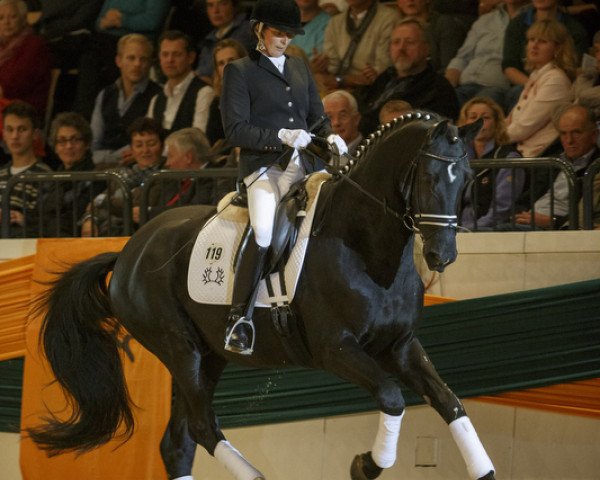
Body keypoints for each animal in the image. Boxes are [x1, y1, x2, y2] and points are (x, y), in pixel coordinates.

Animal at [27, 113, 492, 480]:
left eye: (468, 179)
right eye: (430, 178)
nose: (442, 255)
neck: (365, 248)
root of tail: (128, 250)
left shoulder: (399, 347)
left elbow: (450, 402)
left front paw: (481, 467)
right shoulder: (336, 349)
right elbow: (393, 399)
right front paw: (365, 464)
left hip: (205, 356)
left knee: (178, 443)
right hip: (179, 348)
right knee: (203, 428)